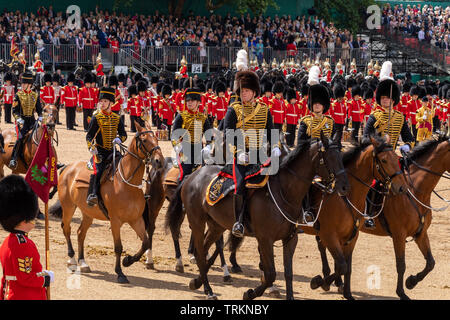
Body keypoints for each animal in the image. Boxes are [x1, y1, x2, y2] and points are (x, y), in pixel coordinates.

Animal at [49, 122, 165, 282]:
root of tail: (68, 167)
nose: (159, 161)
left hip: (88, 212)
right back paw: (72, 260)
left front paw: (128, 261)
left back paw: (83, 263)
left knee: (80, 233)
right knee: (67, 228)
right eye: (145, 140)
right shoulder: (115, 221)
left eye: (157, 139)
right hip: (69, 207)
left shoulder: (135, 220)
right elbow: (118, 247)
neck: (126, 183)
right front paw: (120, 272)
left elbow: (146, 242)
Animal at [167, 132, 350, 300]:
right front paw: (250, 293)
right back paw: (209, 290)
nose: (344, 187)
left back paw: (198, 283)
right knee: (199, 252)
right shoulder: (265, 239)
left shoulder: (290, 239)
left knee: (203, 251)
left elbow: (288, 273)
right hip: (197, 222)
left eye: (341, 156)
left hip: (216, 226)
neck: (284, 191)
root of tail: (192, 176)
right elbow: (270, 274)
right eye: (329, 157)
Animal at [314, 135, 450, 300]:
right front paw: (401, 292)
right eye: (384, 160)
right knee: (322, 246)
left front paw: (411, 282)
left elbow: (430, 263)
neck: (415, 191)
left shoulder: (421, 234)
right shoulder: (399, 235)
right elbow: (401, 265)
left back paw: (338, 283)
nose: (400, 188)